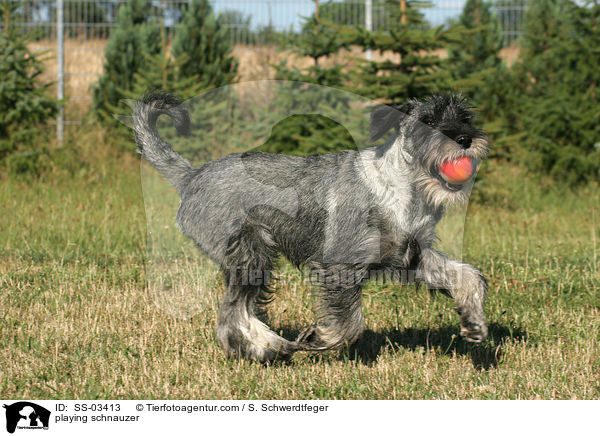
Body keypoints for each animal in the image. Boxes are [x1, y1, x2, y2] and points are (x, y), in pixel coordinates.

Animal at [134, 93, 490, 364]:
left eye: (465, 117)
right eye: (427, 120)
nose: (464, 140)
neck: (402, 188)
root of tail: (191, 177)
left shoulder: (411, 255)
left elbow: (467, 275)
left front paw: (474, 323)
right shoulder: (340, 265)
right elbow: (349, 324)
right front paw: (319, 338)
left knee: (239, 310)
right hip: (251, 253)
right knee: (231, 315)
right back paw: (271, 346)